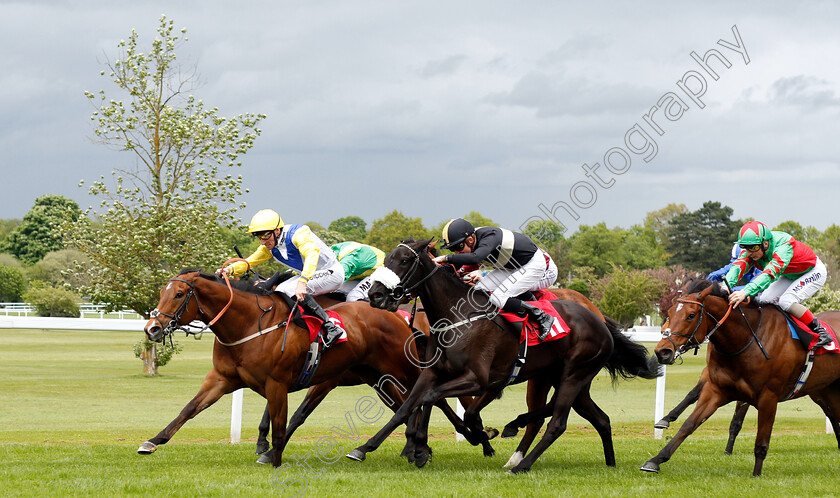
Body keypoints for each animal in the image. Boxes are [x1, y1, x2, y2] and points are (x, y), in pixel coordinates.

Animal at [139, 268, 480, 466]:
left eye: (179, 294)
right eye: (163, 292)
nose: (152, 329)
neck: (249, 325)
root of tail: (395, 316)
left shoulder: (283, 383)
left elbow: (285, 423)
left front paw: (273, 459)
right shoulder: (222, 379)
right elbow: (189, 409)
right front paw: (152, 442)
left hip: (401, 369)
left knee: (425, 399)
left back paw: (454, 439)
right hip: (378, 375)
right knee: (410, 404)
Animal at [348, 239, 664, 472]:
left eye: (403, 261)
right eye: (386, 260)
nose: (375, 295)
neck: (458, 315)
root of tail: (600, 321)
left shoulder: (478, 379)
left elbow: (434, 399)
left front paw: (461, 440)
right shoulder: (434, 371)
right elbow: (409, 406)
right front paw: (368, 448)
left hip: (573, 374)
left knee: (556, 422)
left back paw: (521, 463)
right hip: (567, 378)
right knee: (599, 418)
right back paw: (608, 463)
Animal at [644, 278, 840, 476]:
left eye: (691, 315)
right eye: (669, 313)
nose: (663, 351)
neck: (746, 339)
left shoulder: (768, 397)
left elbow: (761, 442)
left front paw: (756, 475)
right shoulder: (717, 390)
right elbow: (689, 424)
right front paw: (656, 460)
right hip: (824, 392)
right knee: (834, 416)